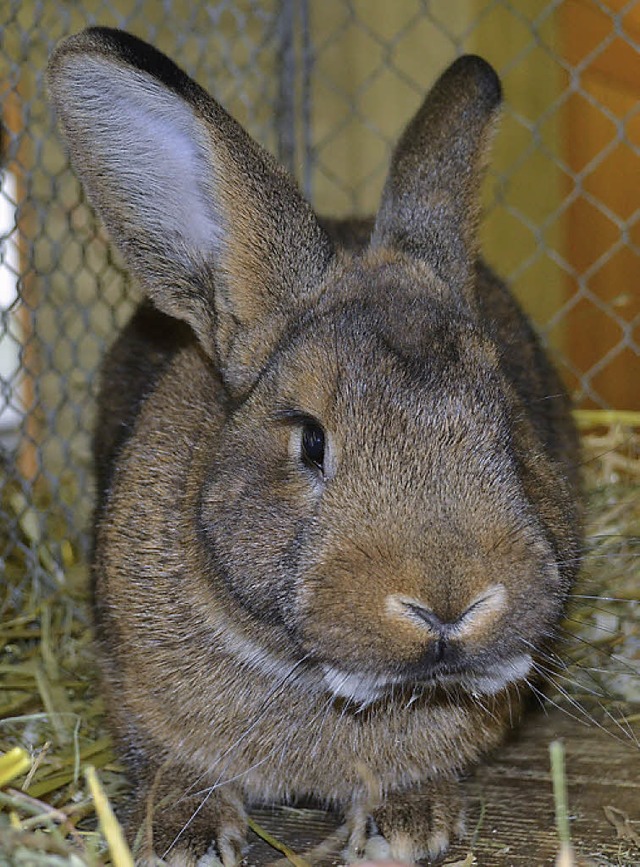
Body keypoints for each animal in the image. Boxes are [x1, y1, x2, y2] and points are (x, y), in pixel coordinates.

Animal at [47, 27, 584, 867]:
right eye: (309, 441)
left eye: (509, 421)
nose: (449, 605)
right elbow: (170, 758)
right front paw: (185, 834)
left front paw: (407, 823)